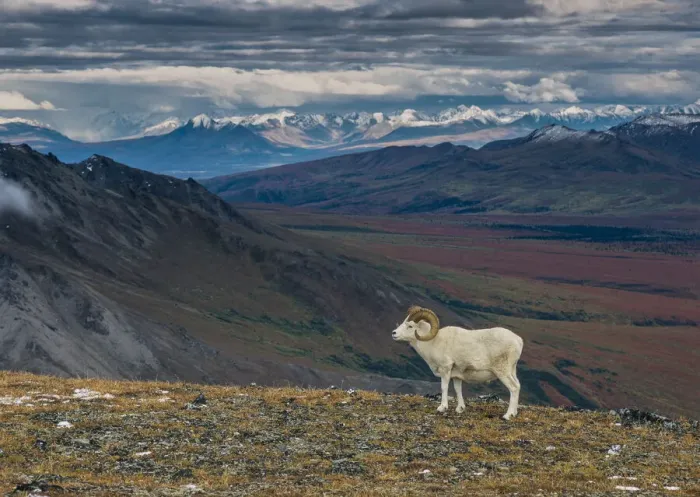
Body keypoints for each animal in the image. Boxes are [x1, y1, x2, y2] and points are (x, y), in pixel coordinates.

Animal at [391, 306, 524, 420]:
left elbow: (444, 387)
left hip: (502, 372)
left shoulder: (445, 369)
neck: (434, 342)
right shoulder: (456, 375)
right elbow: (457, 389)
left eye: (410, 326)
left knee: (513, 388)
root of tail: (518, 340)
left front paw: (442, 408)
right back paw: (514, 413)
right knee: (518, 385)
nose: (394, 333)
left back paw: (507, 416)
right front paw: (460, 409)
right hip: (512, 371)